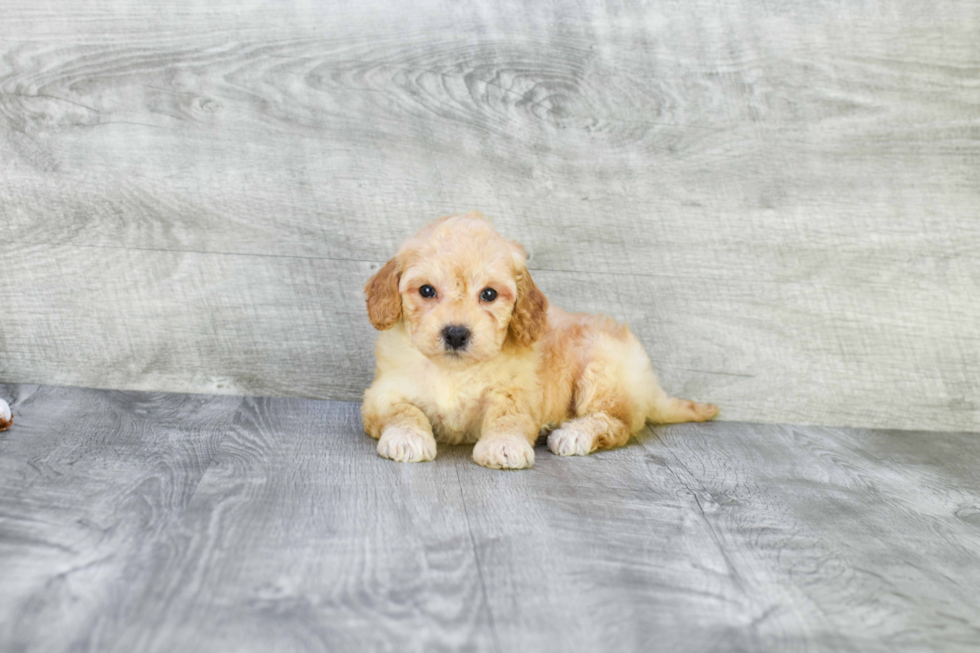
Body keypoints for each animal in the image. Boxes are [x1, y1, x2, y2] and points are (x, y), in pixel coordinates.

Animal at [362, 214, 720, 468]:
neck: (454, 371)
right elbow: (404, 411)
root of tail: (650, 383)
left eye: (489, 294)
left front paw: (504, 445)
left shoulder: (516, 393)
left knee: (615, 423)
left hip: (603, 370)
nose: (456, 334)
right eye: (426, 290)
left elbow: (507, 416)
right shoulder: (382, 394)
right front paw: (407, 437)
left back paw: (573, 433)